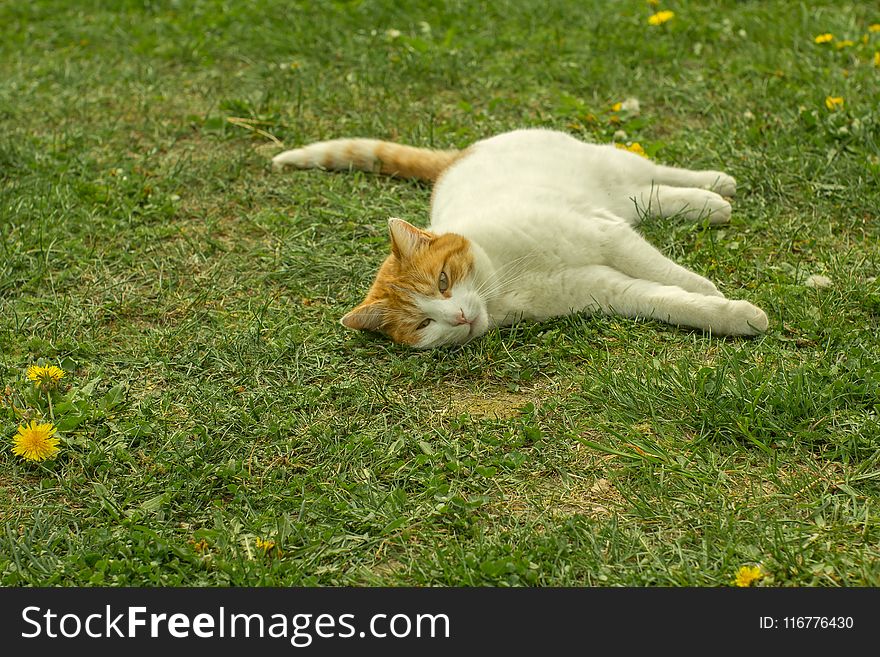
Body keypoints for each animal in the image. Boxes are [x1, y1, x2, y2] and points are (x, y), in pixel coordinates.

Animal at [272, 126, 768, 348]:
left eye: (443, 282)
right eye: (422, 325)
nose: (457, 317)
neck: (503, 280)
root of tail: (459, 156)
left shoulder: (606, 236)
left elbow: (667, 272)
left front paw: (708, 287)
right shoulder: (603, 284)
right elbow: (669, 300)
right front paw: (731, 314)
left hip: (609, 168)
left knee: (655, 172)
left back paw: (716, 184)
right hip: (619, 199)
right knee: (650, 196)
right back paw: (709, 204)